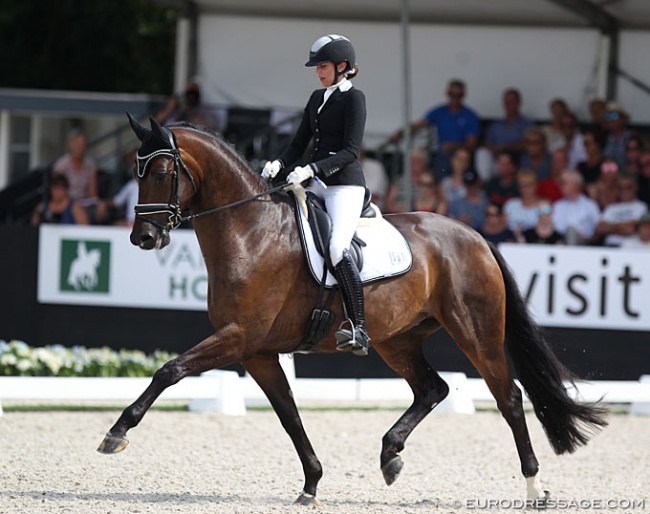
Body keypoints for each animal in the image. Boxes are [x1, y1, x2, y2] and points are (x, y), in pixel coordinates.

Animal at [98, 116, 604, 504]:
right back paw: (390, 456)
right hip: (397, 339)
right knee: (433, 389)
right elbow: (289, 414)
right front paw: (311, 484)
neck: (249, 231)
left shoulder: (239, 336)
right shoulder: (257, 352)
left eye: (162, 171)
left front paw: (116, 433)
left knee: (509, 398)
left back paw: (534, 489)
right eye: (136, 172)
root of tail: (474, 236)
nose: (143, 237)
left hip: (475, 331)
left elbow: (169, 370)